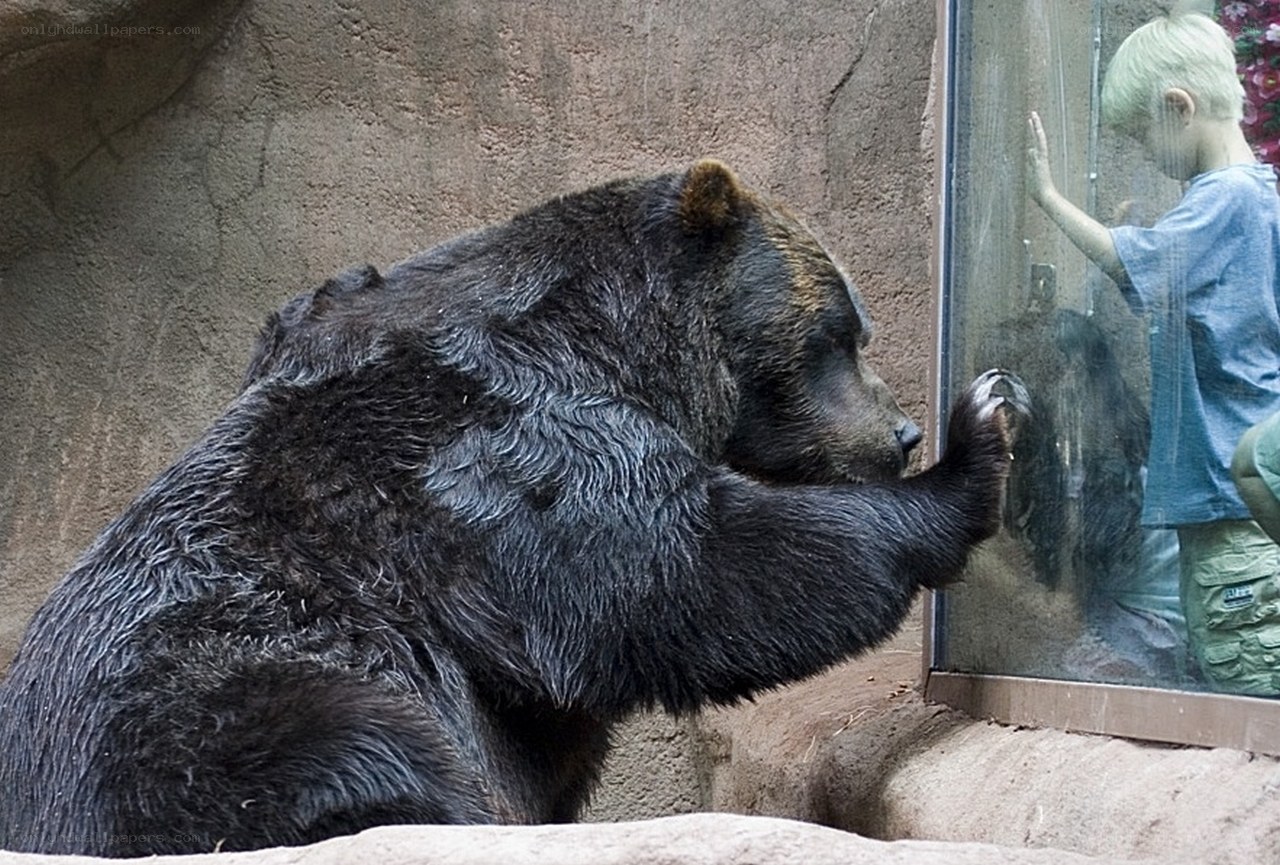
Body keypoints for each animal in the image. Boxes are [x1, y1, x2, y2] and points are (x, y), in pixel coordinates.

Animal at [0, 159, 1023, 856]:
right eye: (838, 333)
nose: (900, 433)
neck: (611, 340)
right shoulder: (502, 448)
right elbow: (684, 567)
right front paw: (978, 443)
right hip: (203, 706)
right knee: (349, 741)